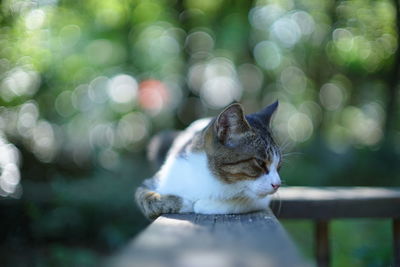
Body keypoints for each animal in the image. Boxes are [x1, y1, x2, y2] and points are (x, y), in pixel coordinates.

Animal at [136, 101, 282, 221]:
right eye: (260, 162)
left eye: (279, 165)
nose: (278, 184)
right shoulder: (154, 181)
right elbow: (145, 197)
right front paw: (181, 202)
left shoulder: (261, 199)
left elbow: (241, 201)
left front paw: (202, 204)